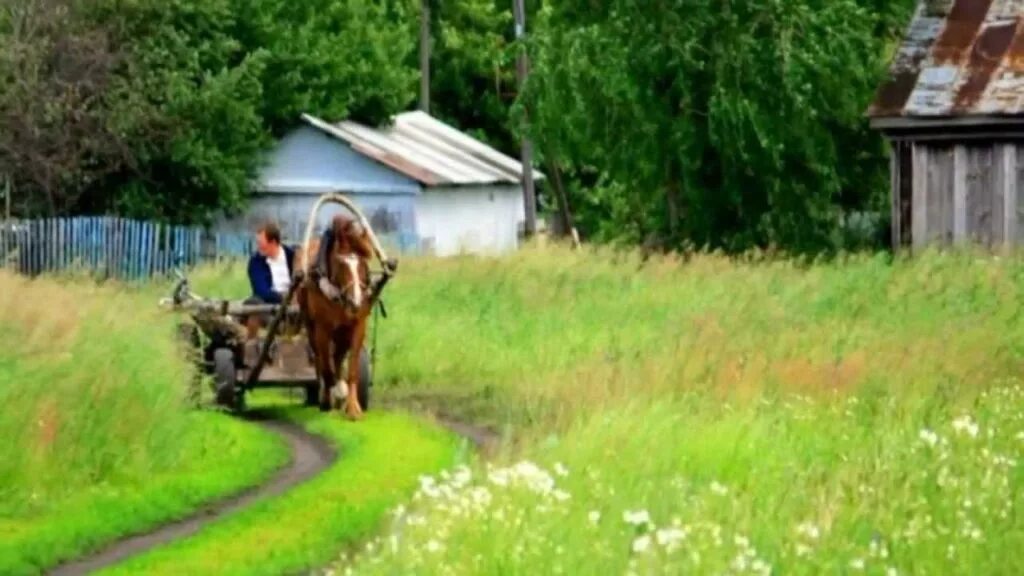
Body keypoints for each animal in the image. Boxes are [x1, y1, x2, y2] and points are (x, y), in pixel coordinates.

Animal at [296, 213, 376, 420]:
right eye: (341, 263)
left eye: (362, 264)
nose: (356, 302)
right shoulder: (322, 329)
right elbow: (326, 366)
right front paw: (333, 396)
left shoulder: (357, 326)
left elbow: (352, 368)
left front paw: (353, 407)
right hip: (312, 327)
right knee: (320, 359)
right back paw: (327, 397)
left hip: (342, 332)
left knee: (338, 357)